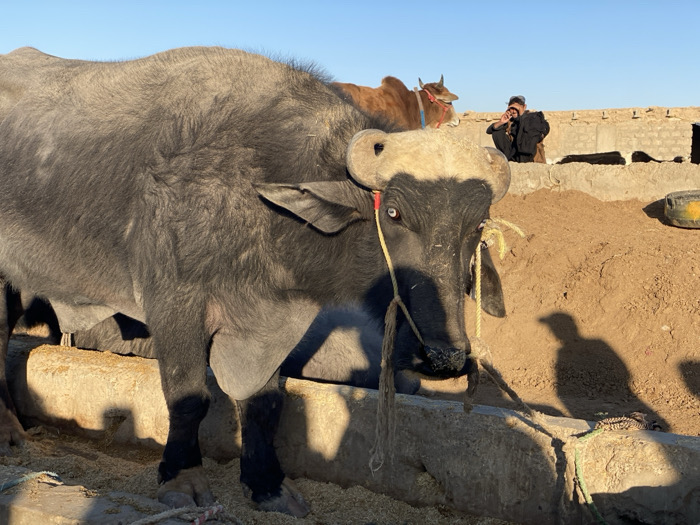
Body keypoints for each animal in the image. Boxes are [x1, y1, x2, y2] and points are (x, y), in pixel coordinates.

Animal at [0, 46, 509, 516]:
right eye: (395, 212)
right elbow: (189, 397)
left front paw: (267, 485)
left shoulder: (274, 321)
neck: (258, 193)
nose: (444, 357)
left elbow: (265, 404)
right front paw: (182, 480)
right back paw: (9, 432)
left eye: (478, 224)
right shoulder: (175, 305)